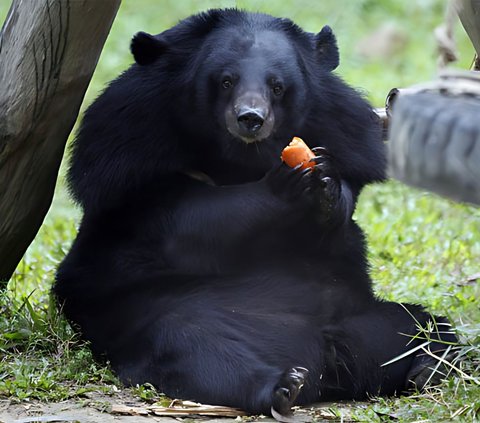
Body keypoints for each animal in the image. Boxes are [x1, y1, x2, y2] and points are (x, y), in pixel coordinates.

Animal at [54, 9, 456, 420]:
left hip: (361, 318)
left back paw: (428, 367)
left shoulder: (343, 130)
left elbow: (338, 216)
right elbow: (190, 222)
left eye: (277, 86)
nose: (250, 119)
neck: (240, 156)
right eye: (226, 81)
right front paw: (286, 183)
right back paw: (284, 386)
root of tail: (325, 364)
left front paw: (326, 182)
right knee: (199, 349)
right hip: (163, 318)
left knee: (420, 326)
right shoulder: (128, 154)